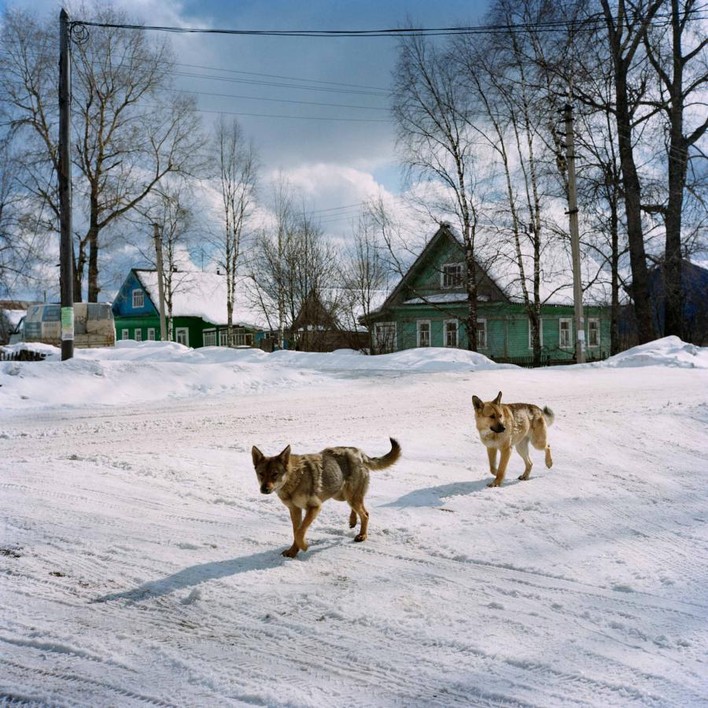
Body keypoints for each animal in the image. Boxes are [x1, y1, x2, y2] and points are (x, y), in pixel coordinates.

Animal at [252, 436, 402, 560]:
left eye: (275, 474)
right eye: (261, 474)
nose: (264, 489)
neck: (294, 479)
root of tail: (359, 452)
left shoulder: (314, 507)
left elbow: (300, 532)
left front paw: (304, 546)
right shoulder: (295, 510)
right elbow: (296, 531)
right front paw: (293, 551)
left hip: (350, 496)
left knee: (365, 514)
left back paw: (362, 535)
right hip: (341, 495)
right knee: (359, 509)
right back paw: (352, 521)